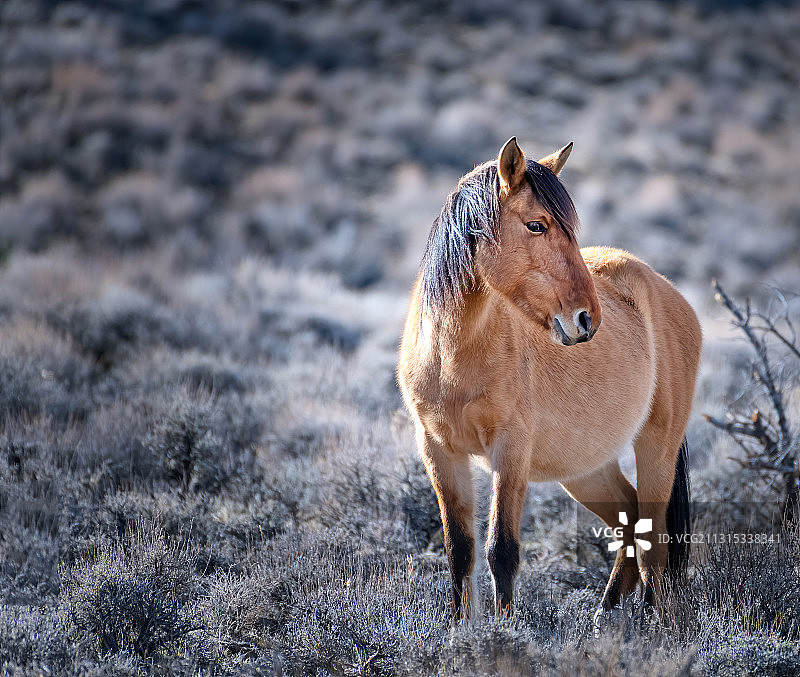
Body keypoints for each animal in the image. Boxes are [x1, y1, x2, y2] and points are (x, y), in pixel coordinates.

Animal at [397, 137, 701, 623]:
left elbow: (502, 550)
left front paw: (503, 631)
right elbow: (459, 550)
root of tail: (669, 291)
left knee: (653, 540)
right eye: (536, 225)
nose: (587, 319)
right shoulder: (439, 451)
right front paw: (461, 629)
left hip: (657, 446)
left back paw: (650, 623)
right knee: (630, 519)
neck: (452, 358)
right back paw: (603, 617)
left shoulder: (510, 451)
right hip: (586, 468)